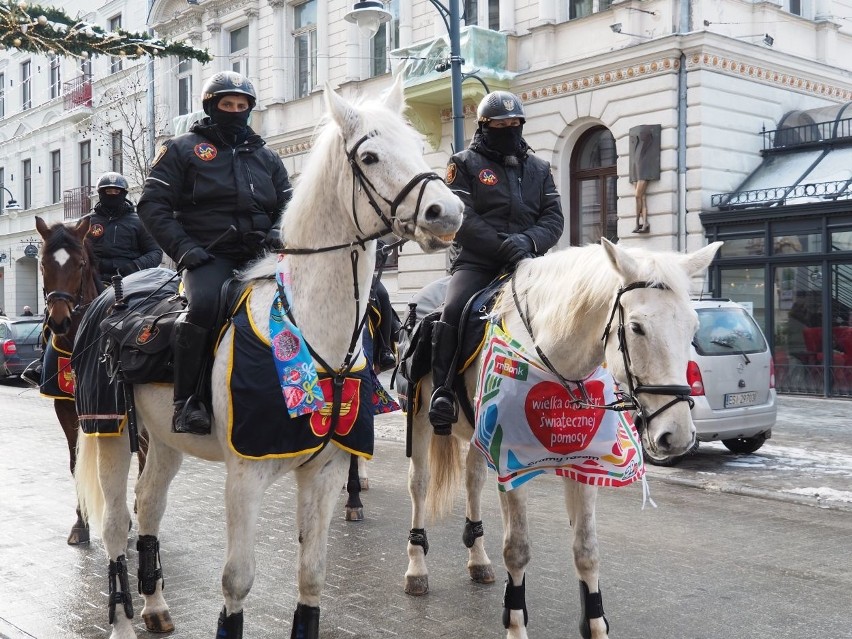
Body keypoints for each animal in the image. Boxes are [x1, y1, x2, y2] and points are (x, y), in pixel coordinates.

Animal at [34, 216, 148, 544]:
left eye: (81, 263)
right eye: (43, 264)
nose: (59, 320)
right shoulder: (65, 406)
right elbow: (76, 464)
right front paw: (80, 522)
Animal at [74, 76, 462, 639]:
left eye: (415, 146)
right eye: (369, 156)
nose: (447, 213)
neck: (310, 330)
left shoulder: (326, 470)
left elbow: (312, 575)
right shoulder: (245, 476)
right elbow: (237, 580)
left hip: (163, 440)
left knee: (148, 508)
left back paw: (155, 606)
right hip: (109, 432)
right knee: (114, 525)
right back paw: (124, 619)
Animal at [404, 240, 720, 639]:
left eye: (693, 326)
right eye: (636, 327)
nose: (676, 435)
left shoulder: (583, 465)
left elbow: (586, 550)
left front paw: (596, 625)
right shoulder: (511, 466)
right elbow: (518, 549)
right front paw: (516, 624)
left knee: (472, 481)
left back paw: (478, 560)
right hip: (420, 421)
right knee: (419, 485)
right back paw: (416, 568)